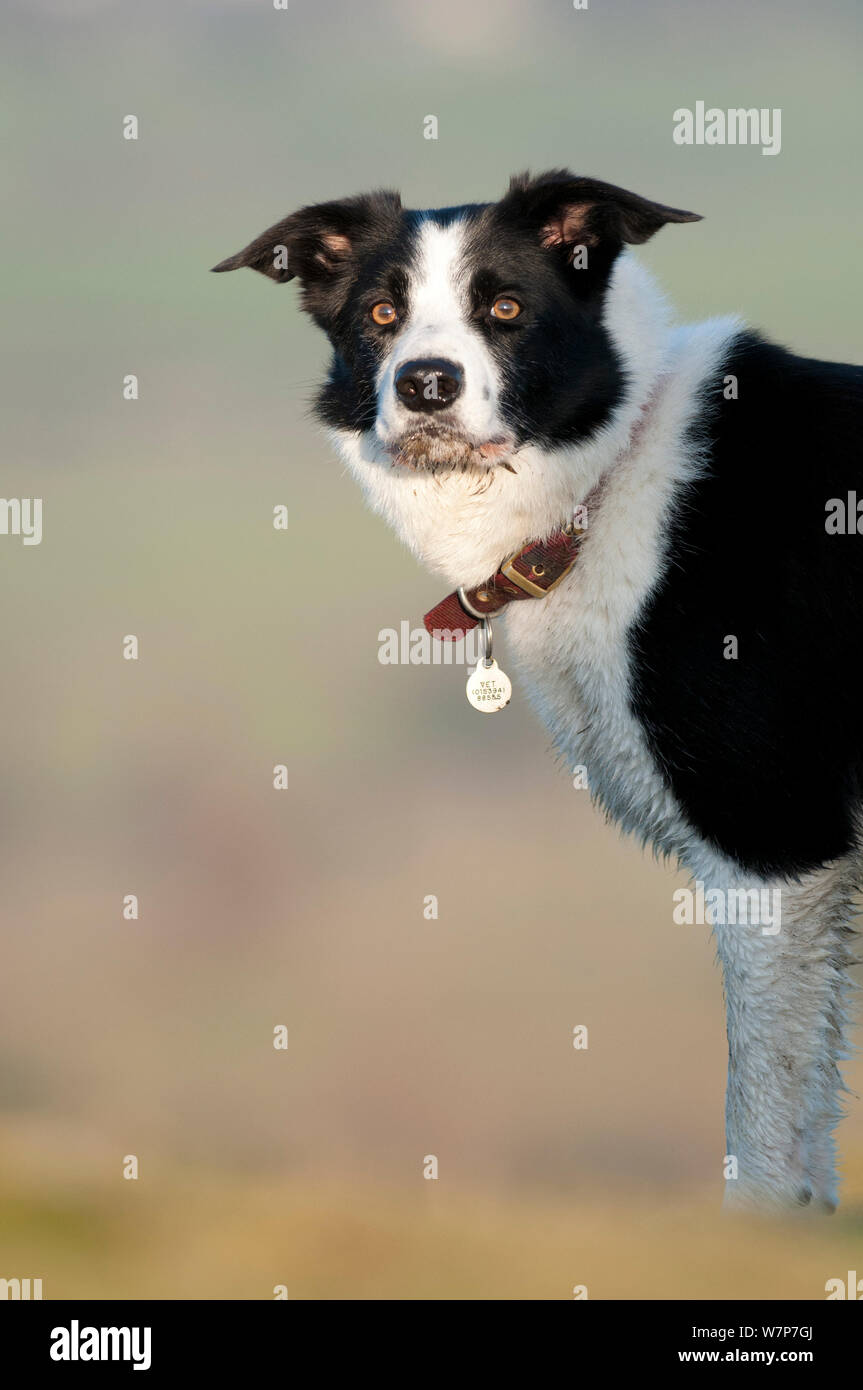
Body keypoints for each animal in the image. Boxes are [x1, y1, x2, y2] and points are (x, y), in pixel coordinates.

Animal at [209, 173, 861, 1212]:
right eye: (382, 316)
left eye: (506, 309)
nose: (425, 384)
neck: (608, 477)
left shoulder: (773, 840)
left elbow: (765, 1111)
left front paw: (761, 1235)